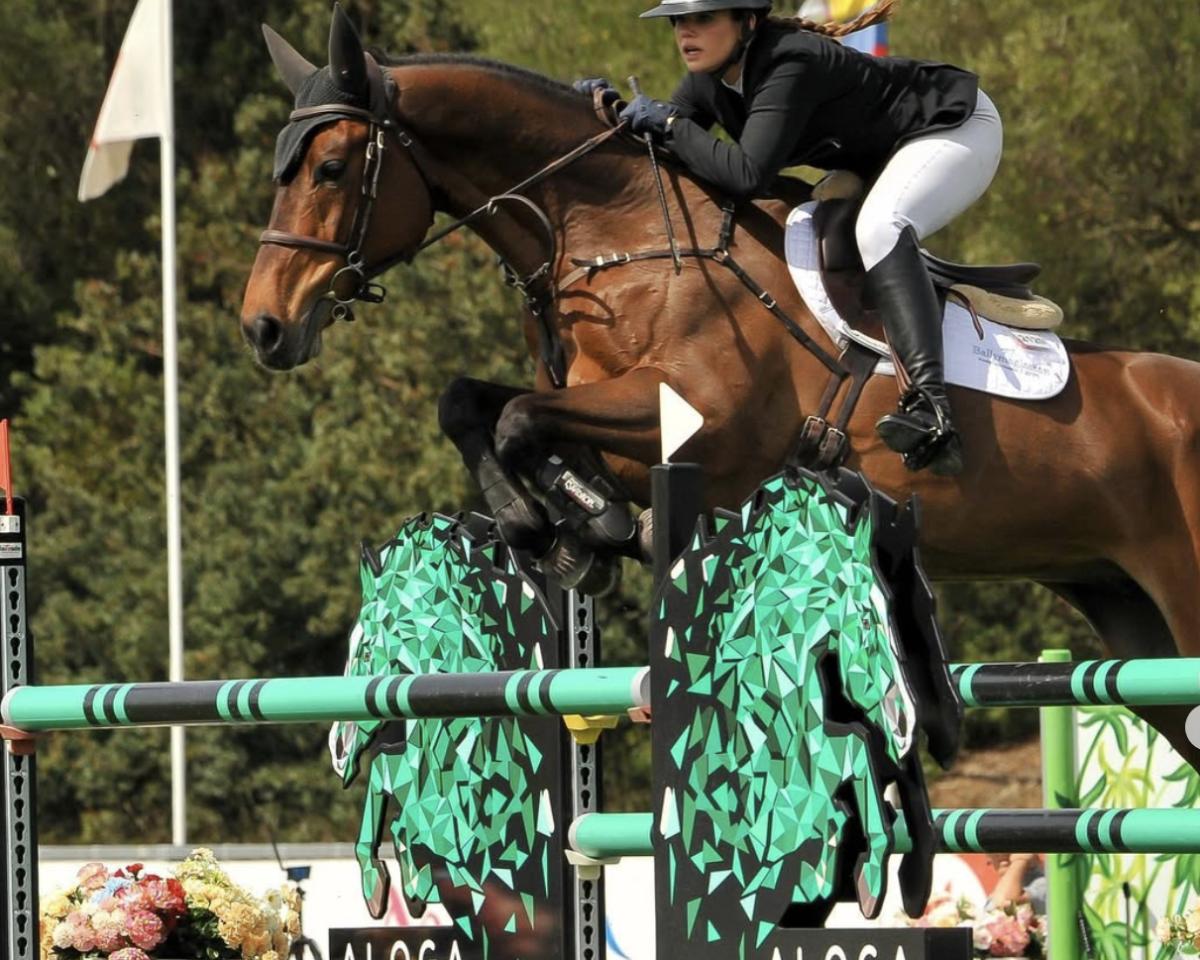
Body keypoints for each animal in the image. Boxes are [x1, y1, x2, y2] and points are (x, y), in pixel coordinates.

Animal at [241, 7, 1200, 771]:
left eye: (330, 170)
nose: (264, 328)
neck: (614, 231)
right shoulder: (594, 398)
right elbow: (475, 404)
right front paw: (563, 524)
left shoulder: (693, 417)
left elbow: (516, 417)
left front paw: (586, 524)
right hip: (1129, 617)